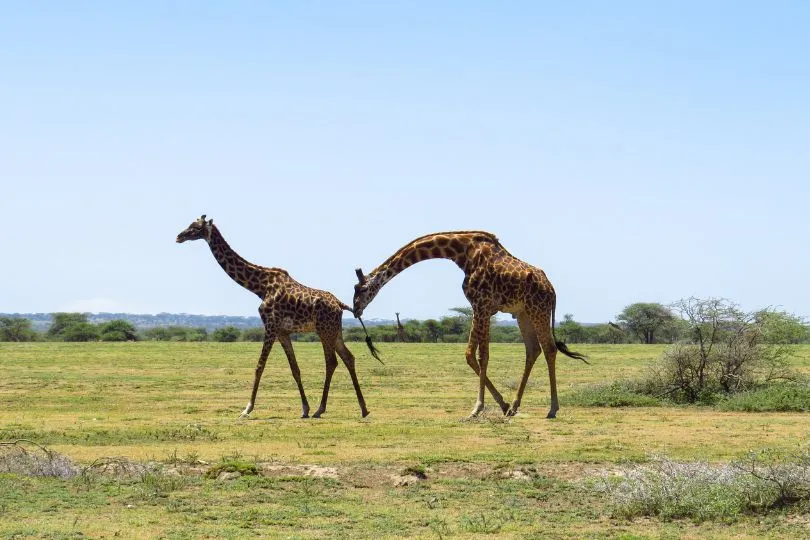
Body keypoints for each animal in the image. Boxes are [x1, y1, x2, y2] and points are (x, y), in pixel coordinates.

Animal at [176, 214, 376, 418]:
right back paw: (363, 408)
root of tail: (340, 305)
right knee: (348, 358)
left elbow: (259, 367)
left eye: (196, 227)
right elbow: (295, 369)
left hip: (324, 331)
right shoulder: (282, 332)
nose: (179, 236)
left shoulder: (270, 326)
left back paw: (321, 409)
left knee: (332, 362)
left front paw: (247, 409)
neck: (260, 286)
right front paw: (304, 408)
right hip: (335, 331)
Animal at [350, 230, 584, 420]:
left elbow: (474, 354)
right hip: (523, 313)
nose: (355, 309)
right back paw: (514, 407)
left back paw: (552, 409)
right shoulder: (484, 308)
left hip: (538, 310)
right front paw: (502, 404)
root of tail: (552, 290)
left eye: (360, 289)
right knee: (533, 349)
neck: (462, 253)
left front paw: (477, 409)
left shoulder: (480, 304)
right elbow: (480, 355)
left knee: (549, 348)